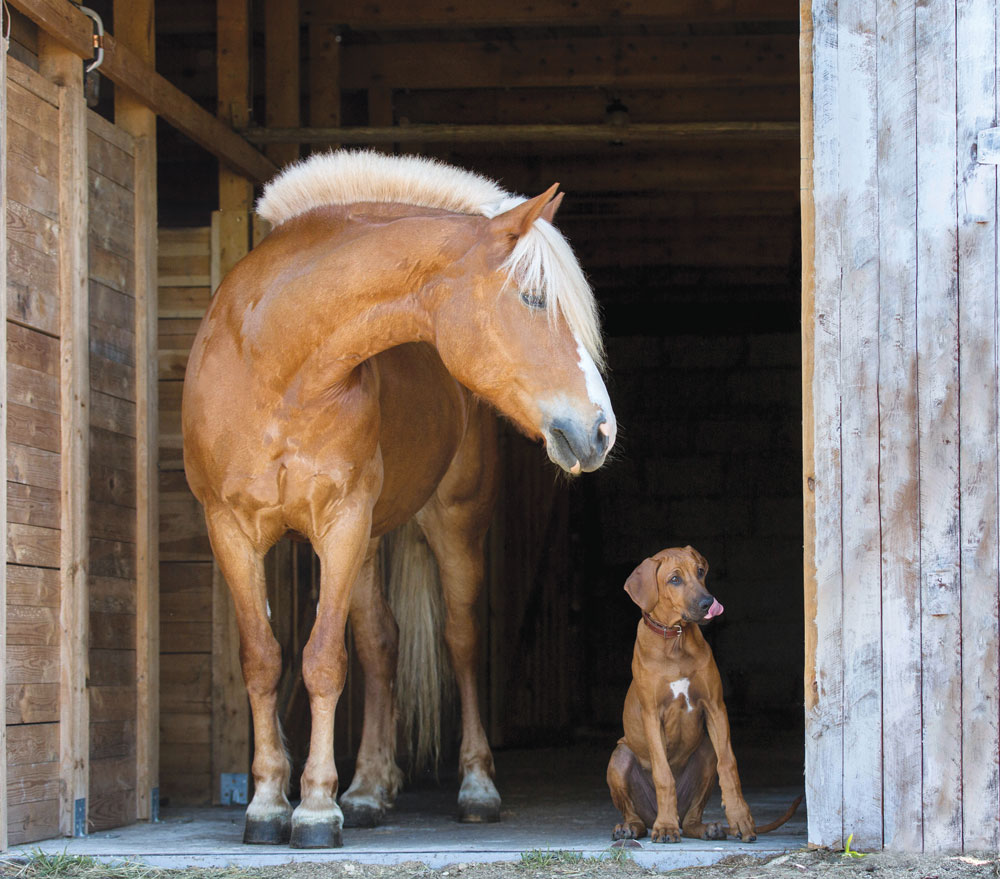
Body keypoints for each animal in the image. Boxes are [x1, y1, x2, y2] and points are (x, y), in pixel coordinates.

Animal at [182, 150, 616, 844]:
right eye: (532, 298)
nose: (601, 431)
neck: (275, 365)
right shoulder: (232, 529)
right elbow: (265, 660)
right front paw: (269, 804)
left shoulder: (342, 521)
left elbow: (323, 660)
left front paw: (314, 809)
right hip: (368, 542)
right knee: (381, 644)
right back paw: (368, 790)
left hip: (450, 524)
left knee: (460, 641)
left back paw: (474, 787)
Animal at [604, 548, 800, 844]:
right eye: (674, 579)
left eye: (699, 571)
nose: (709, 602)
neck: (675, 639)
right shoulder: (652, 715)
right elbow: (663, 773)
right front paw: (665, 828)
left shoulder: (715, 707)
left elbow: (728, 765)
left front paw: (740, 817)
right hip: (620, 756)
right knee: (635, 815)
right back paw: (635, 827)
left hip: (705, 753)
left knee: (692, 817)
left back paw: (708, 828)